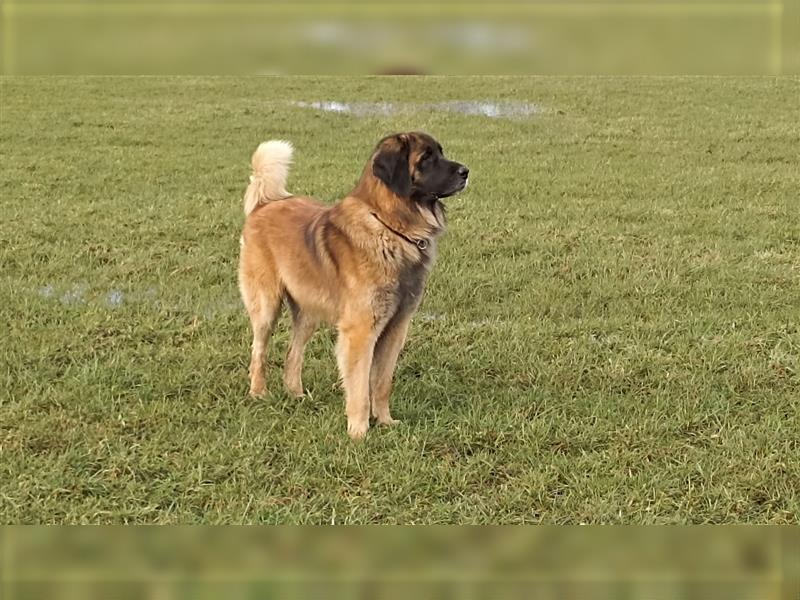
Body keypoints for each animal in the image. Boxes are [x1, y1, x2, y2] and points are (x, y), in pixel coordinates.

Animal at [238, 132, 468, 440]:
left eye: (440, 153)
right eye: (426, 158)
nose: (466, 172)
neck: (391, 227)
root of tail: (266, 203)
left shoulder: (396, 328)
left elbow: (381, 382)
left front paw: (385, 421)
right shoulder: (360, 331)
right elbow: (359, 387)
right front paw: (359, 432)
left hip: (308, 312)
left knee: (292, 353)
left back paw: (296, 395)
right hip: (266, 307)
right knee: (259, 352)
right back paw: (258, 393)